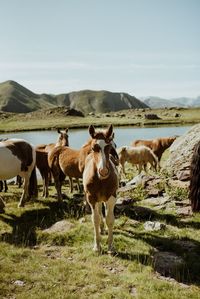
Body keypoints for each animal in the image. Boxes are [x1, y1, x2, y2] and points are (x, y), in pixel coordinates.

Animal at [82, 125, 118, 254]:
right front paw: (97, 246)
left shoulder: (112, 197)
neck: (101, 179)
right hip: (96, 198)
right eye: (94, 148)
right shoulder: (91, 198)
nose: (103, 171)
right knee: (98, 210)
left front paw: (111, 247)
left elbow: (110, 219)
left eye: (109, 147)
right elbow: (95, 219)